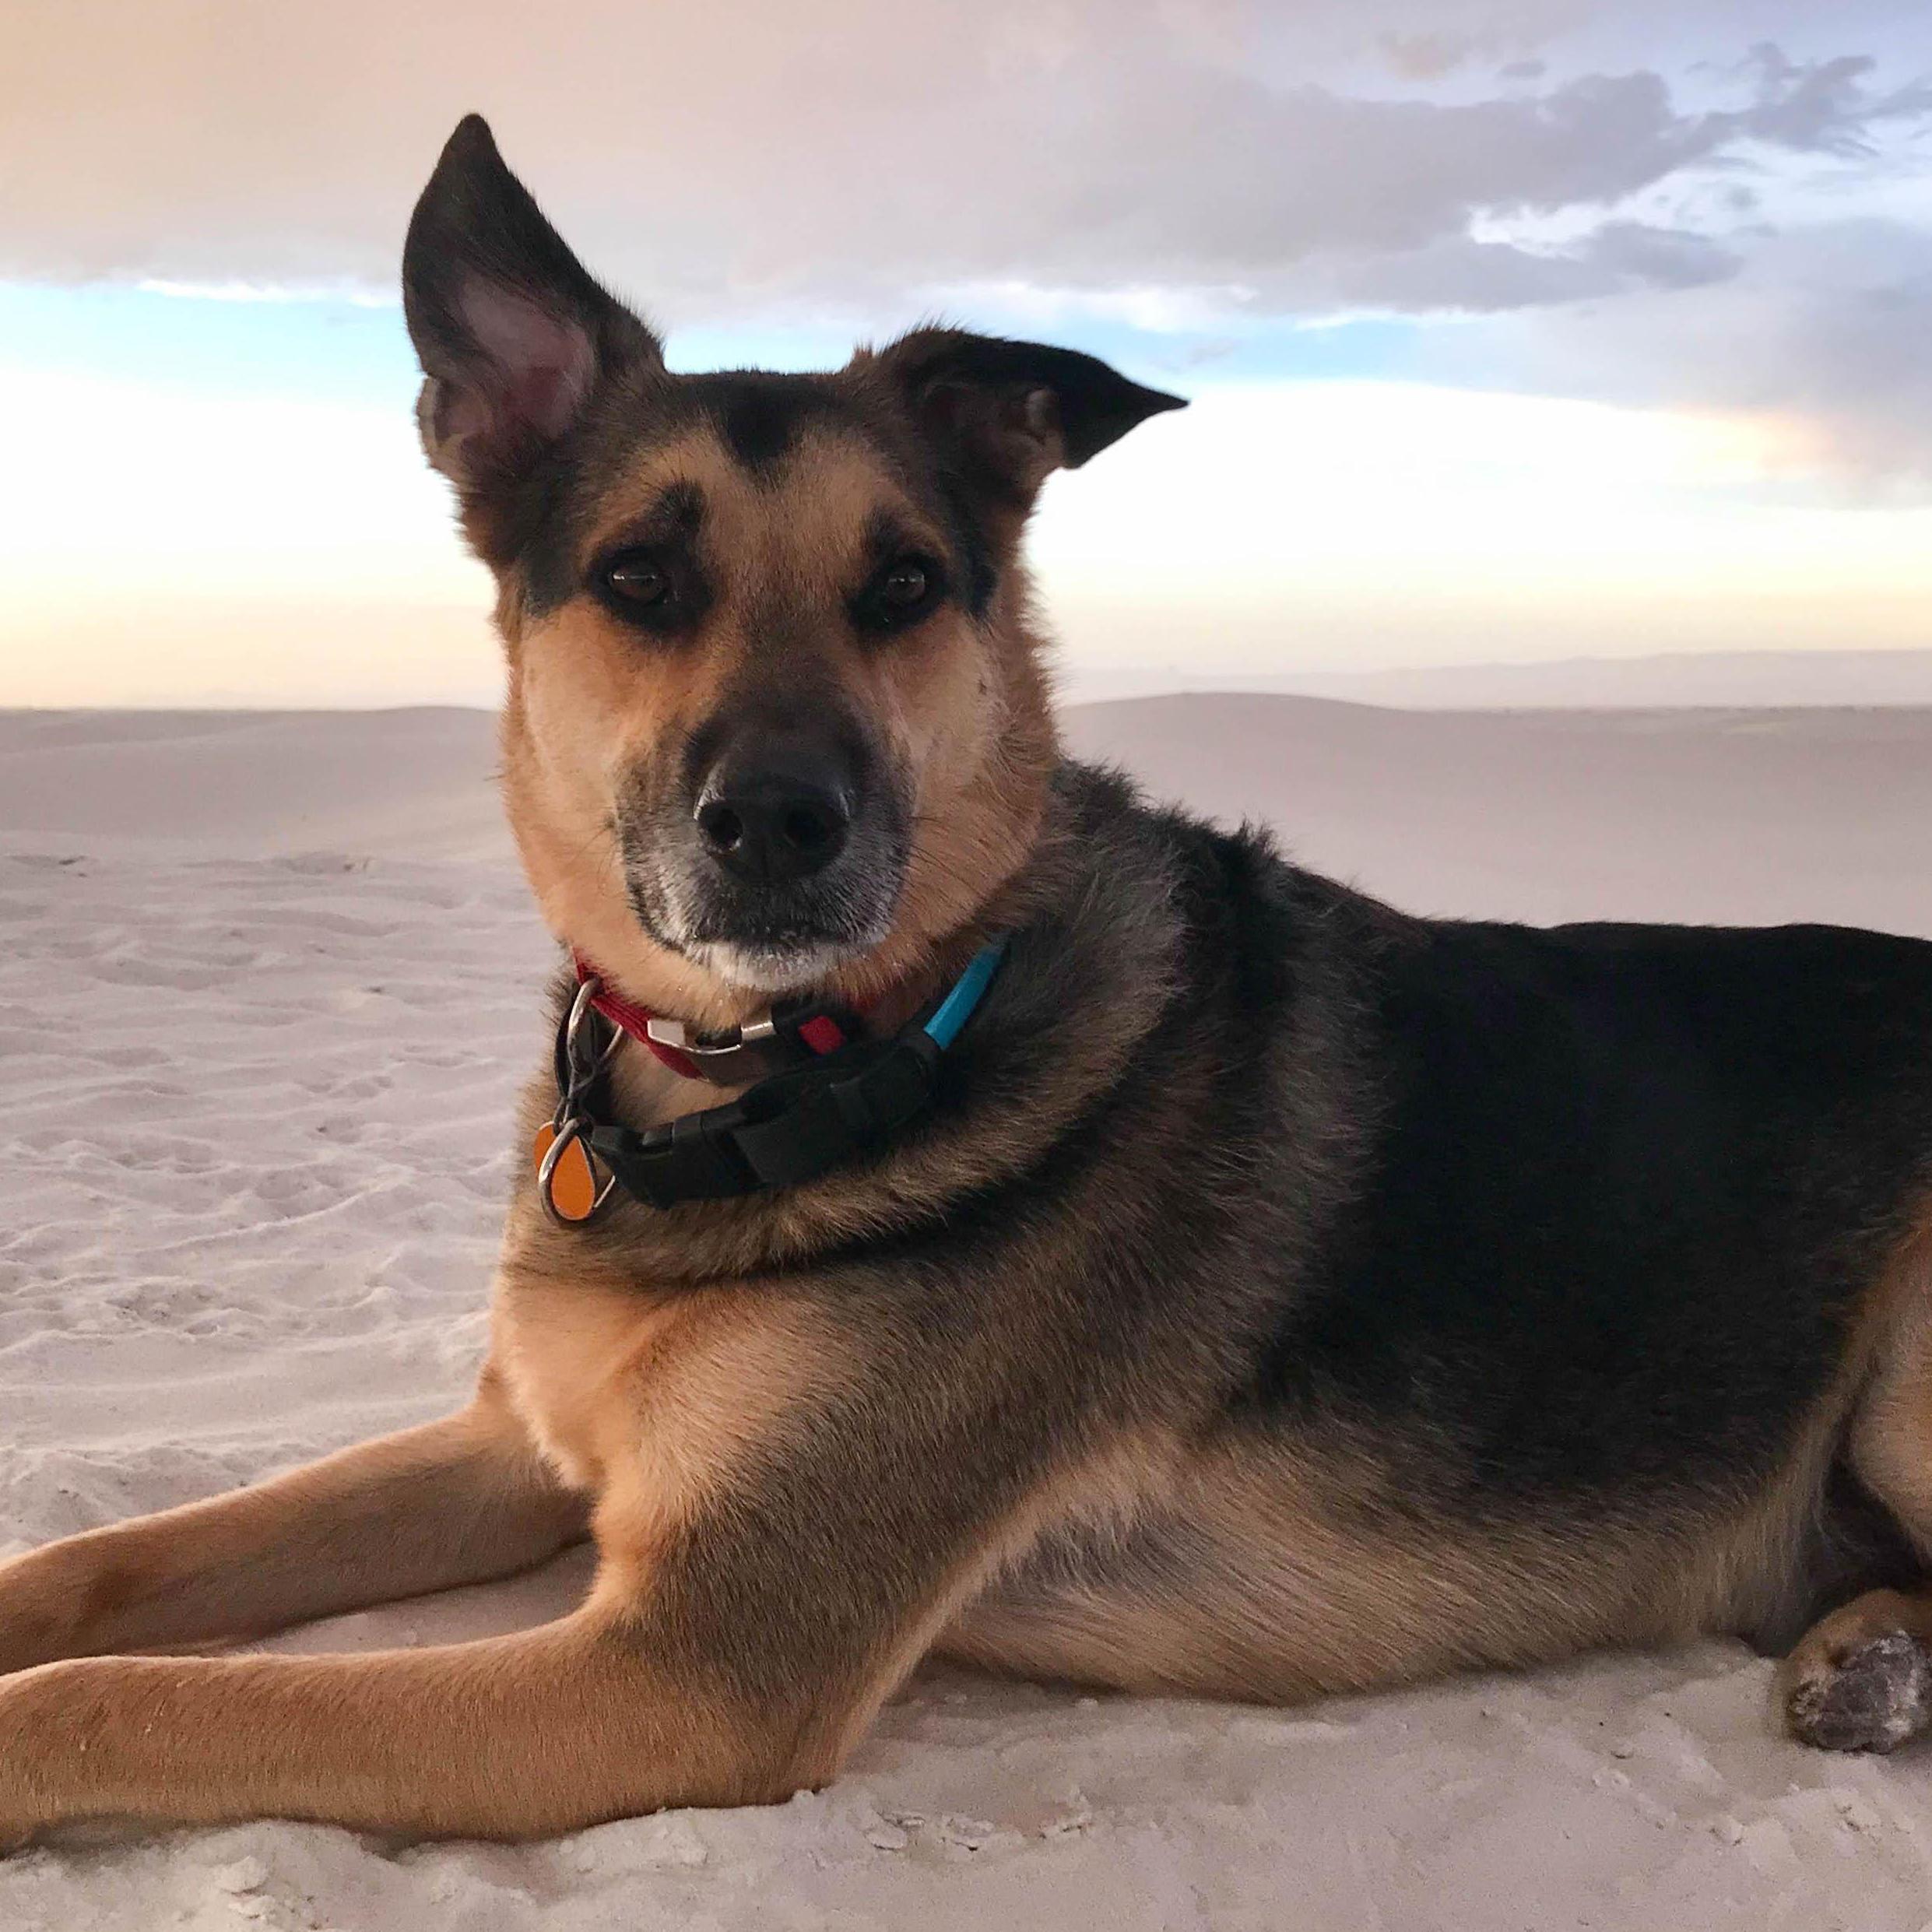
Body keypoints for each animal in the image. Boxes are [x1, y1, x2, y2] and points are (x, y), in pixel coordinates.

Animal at [0, 117, 1932, 1839]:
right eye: (639, 575)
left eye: (906, 584)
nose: (781, 820)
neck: (803, 1069)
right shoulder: (514, 1450)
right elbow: (102, 1569)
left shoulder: (690, 1658)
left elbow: (126, 1700)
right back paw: (1866, 1651)